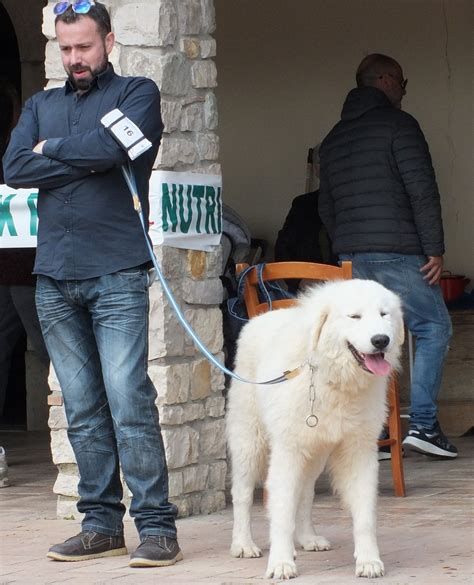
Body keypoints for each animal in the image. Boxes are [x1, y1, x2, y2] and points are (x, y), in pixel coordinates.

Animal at [226, 278, 404, 580]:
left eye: (384, 314)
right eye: (354, 317)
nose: (381, 340)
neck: (333, 380)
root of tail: (260, 318)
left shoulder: (359, 452)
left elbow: (365, 516)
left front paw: (369, 561)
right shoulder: (287, 452)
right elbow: (281, 514)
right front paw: (281, 563)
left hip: (315, 453)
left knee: (305, 494)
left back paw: (308, 538)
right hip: (250, 443)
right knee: (242, 495)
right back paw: (243, 544)